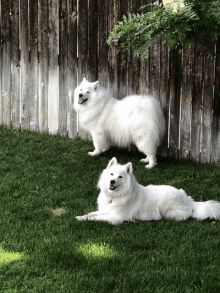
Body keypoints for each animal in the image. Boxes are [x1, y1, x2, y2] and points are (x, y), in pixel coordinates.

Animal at [75, 157, 220, 224]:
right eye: (111, 174)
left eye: (120, 177)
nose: (112, 181)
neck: (114, 196)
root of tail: (189, 199)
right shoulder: (105, 210)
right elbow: (91, 214)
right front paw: (80, 217)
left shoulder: (115, 217)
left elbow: (97, 218)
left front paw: (83, 220)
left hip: (164, 206)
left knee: (184, 216)